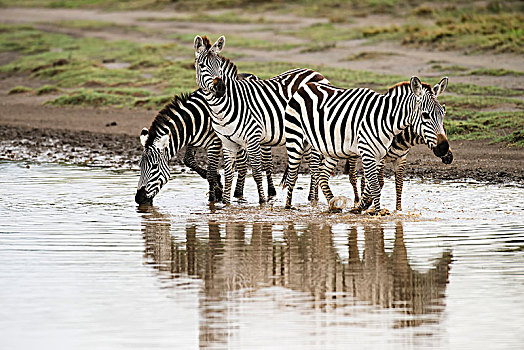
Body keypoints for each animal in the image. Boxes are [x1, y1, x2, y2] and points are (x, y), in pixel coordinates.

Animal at [133, 73, 272, 206]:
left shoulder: (215, 143)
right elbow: (188, 161)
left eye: (155, 166)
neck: (194, 121)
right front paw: (218, 186)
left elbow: (210, 173)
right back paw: (238, 194)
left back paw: (270, 193)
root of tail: (250, 75)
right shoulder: (193, 141)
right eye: (140, 166)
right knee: (242, 164)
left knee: (266, 162)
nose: (139, 199)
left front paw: (212, 200)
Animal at [194, 34, 330, 204]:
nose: (220, 88)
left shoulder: (253, 138)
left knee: (314, 166)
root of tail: (318, 74)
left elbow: (257, 172)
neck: (225, 106)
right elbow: (229, 174)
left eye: (219, 66)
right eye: (202, 65)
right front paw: (226, 203)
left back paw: (312, 199)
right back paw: (314, 197)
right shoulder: (227, 142)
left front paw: (263, 202)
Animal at [284, 75, 448, 215]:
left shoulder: (380, 155)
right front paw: (377, 213)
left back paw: (333, 206)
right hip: (296, 140)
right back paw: (288, 207)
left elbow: (378, 184)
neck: (385, 120)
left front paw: (366, 208)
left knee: (322, 176)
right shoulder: (369, 153)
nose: (444, 148)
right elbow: (375, 186)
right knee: (293, 175)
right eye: (425, 115)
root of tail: (306, 86)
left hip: (329, 148)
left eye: (443, 113)